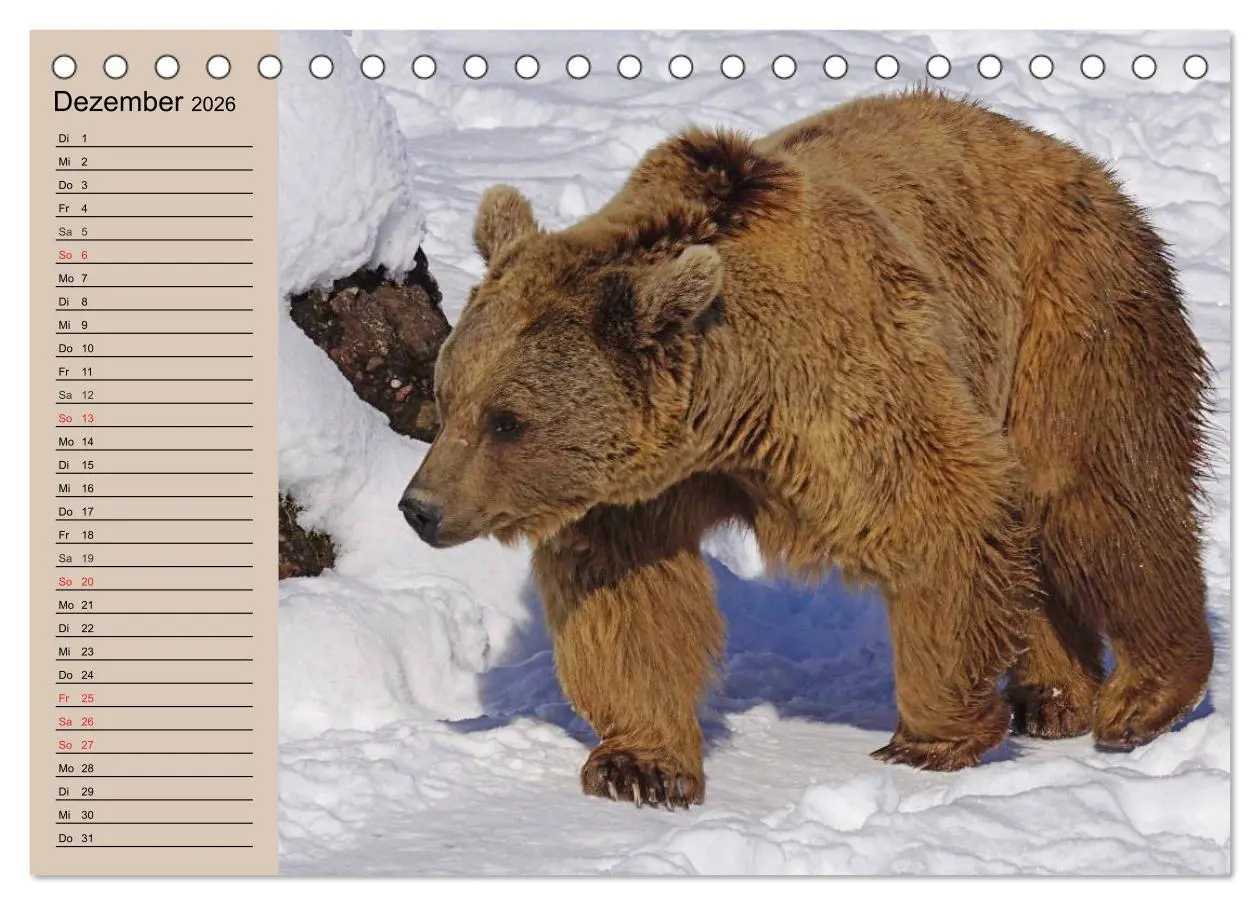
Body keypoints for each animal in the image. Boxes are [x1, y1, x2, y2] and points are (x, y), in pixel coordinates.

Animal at [398, 89, 1214, 810]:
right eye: (447, 396)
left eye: (507, 420)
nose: (420, 507)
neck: (726, 406)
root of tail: (1067, 155)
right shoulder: (640, 486)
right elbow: (628, 597)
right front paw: (640, 767)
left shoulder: (843, 386)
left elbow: (942, 512)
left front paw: (928, 737)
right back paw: (1050, 695)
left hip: (1064, 314)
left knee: (1098, 498)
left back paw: (1143, 696)